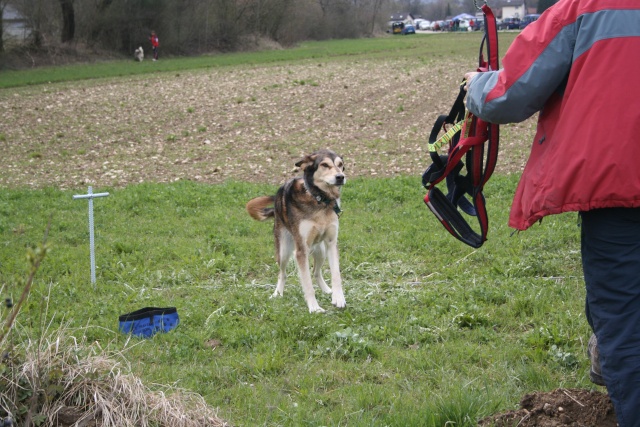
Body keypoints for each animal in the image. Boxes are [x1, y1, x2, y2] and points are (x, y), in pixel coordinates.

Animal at [245, 150, 344, 314]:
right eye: (324, 165)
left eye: (341, 165)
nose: (341, 177)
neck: (319, 200)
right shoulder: (301, 251)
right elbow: (308, 285)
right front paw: (314, 307)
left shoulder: (331, 243)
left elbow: (336, 275)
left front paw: (339, 298)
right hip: (284, 251)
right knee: (282, 274)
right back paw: (277, 293)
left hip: (321, 251)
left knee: (316, 272)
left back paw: (326, 289)